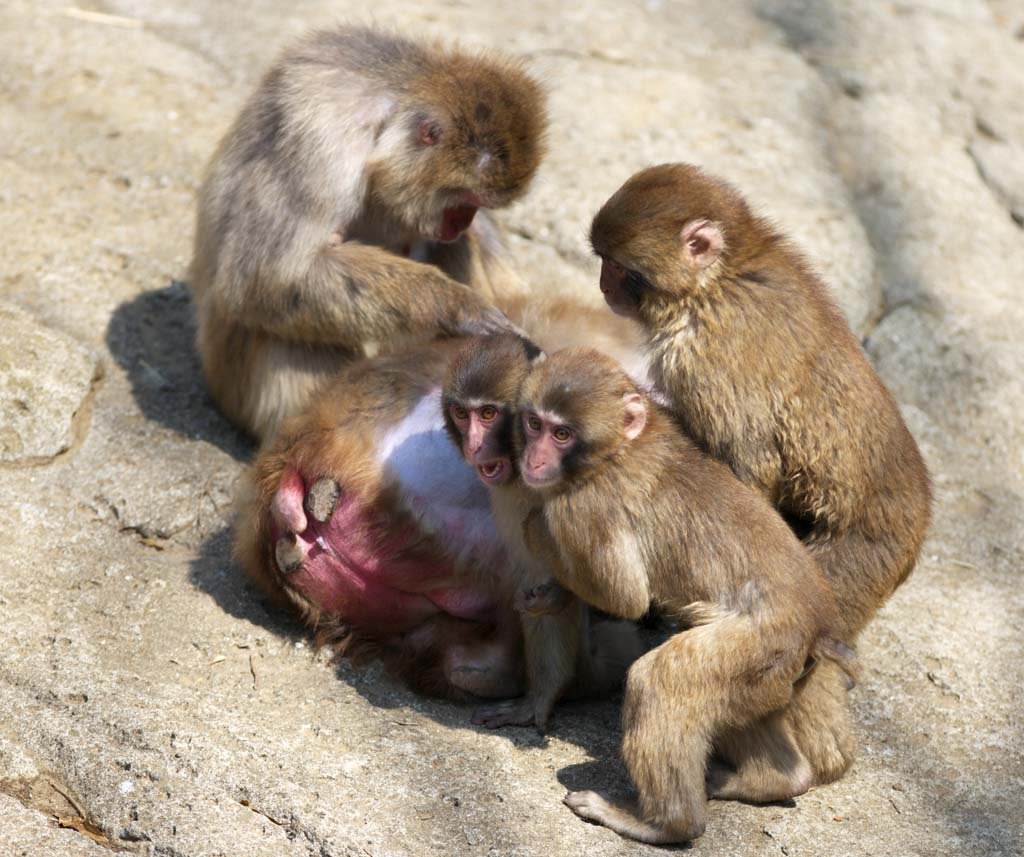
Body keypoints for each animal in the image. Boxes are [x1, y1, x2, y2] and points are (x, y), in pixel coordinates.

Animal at [192, 25, 548, 441]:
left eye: (475, 203)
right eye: (465, 199)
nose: (462, 221)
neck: (387, 118)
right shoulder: (321, 144)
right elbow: (263, 279)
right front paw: (460, 308)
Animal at [513, 348, 854, 844]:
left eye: (561, 434)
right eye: (533, 423)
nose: (533, 460)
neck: (618, 449)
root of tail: (818, 624)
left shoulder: (584, 507)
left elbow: (625, 596)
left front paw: (535, 533)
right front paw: (552, 600)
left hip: (759, 641)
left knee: (660, 681)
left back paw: (665, 824)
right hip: (775, 669)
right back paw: (775, 779)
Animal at [589, 163, 931, 786]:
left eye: (621, 269)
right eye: (603, 262)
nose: (603, 285)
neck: (718, 279)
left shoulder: (706, 355)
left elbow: (751, 470)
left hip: (855, 558)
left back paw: (812, 762)